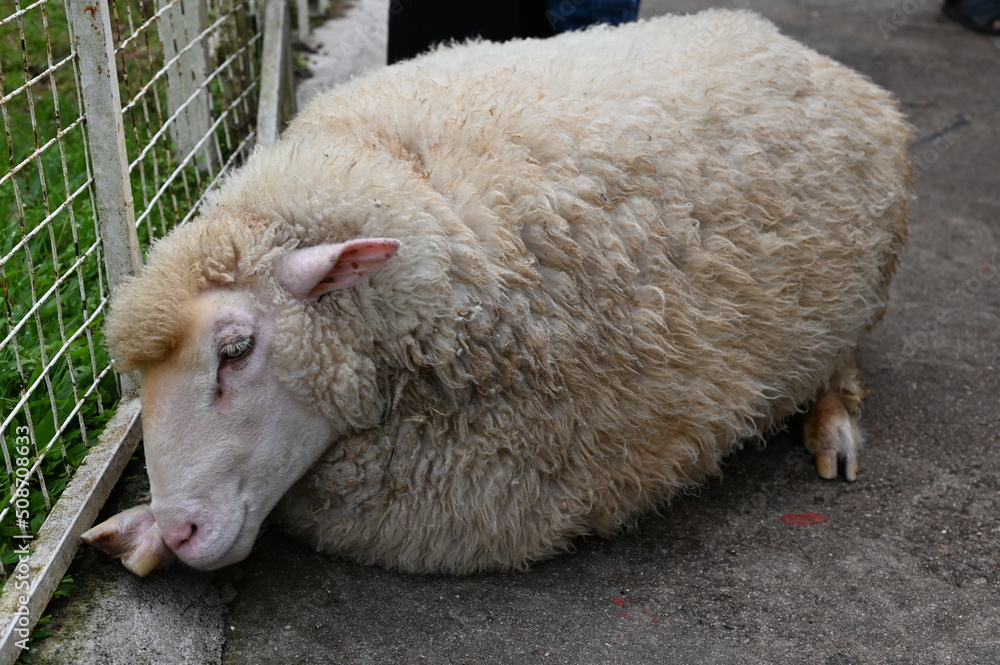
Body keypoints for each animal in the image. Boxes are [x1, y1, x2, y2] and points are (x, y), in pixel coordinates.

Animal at [83, 9, 911, 577]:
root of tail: (793, 44)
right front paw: (142, 530)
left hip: (857, 298)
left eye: (236, 349)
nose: (183, 529)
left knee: (841, 366)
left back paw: (833, 429)